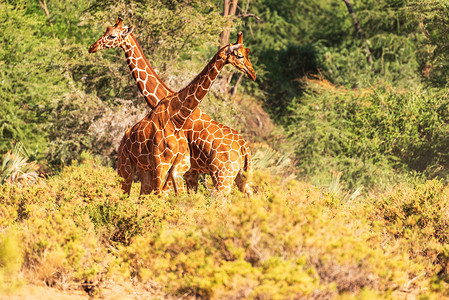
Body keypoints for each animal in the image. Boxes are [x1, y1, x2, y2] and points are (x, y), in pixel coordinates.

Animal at [88, 18, 256, 197]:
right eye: (240, 55)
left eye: (112, 35)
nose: (92, 47)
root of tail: (245, 148)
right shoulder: (187, 171)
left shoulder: (182, 170)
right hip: (240, 178)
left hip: (223, 176)